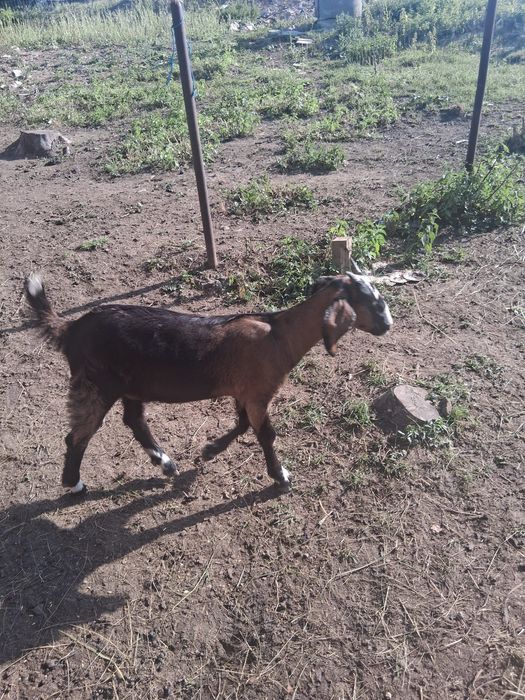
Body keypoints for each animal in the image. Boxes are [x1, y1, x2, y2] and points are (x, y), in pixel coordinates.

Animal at [24, 267, 392, 495]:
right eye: (373, 302)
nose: (388, 325)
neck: (279, 336)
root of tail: (71, 329)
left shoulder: (245, 392)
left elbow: (242, 425)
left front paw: (211, 449)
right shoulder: (258, 393)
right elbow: (266, 434)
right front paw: (281, 477)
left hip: (131, 383)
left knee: (134, 420)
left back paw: (165, 462)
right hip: (95, 383)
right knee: (78, 436)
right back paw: (74, 484)